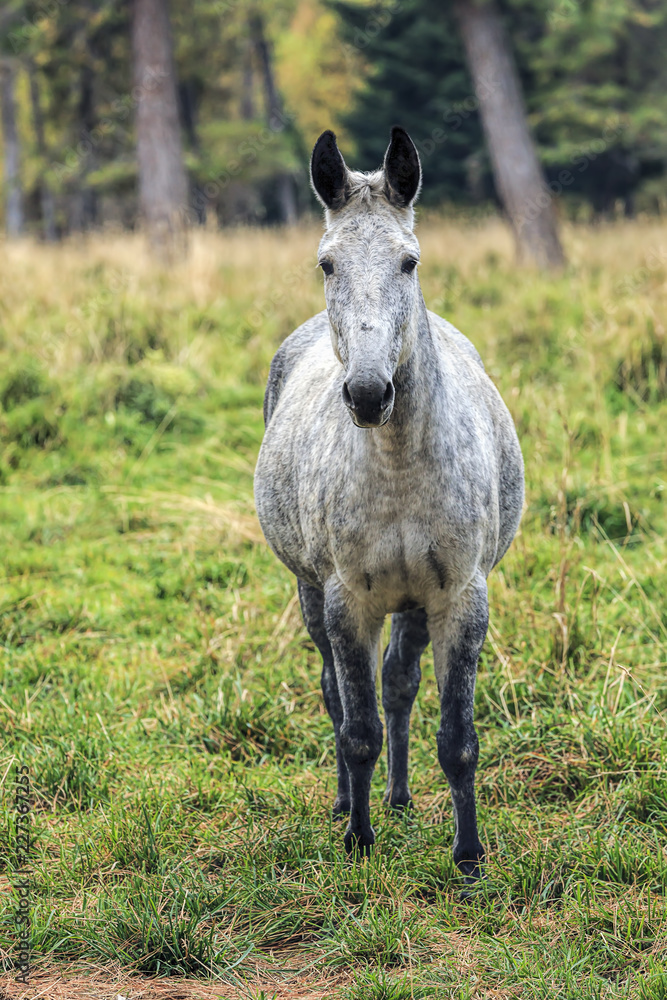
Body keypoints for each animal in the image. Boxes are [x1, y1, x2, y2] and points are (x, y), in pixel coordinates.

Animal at [254, 127, 524, 887]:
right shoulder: (348, 601)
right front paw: (359, 841)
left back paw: (401, 799)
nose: (369, 394)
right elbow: (357, 726)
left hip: (413, 602)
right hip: (312, 593)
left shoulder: (460, 597)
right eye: (327, 263)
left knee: (401, 685)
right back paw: (352, 805)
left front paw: (468, 857)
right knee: (336, 692)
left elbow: (455, 736)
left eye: (409, 261)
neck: (399, 465)